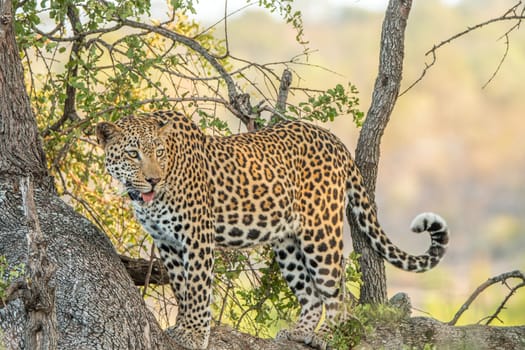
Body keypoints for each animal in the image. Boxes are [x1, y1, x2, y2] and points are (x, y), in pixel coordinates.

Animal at [95, 110, 446, 350]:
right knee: (310, 293)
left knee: (336, 289)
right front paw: (182, 326)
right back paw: (299, 331)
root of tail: (335, 141)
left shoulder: (196, 237)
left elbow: (197, 288)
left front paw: (194, 333)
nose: (153, 180)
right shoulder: (167, 242)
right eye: (133, 154)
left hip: (320, 232)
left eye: (159, 152)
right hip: (286, 242)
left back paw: (329, 334)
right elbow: (181, 287)